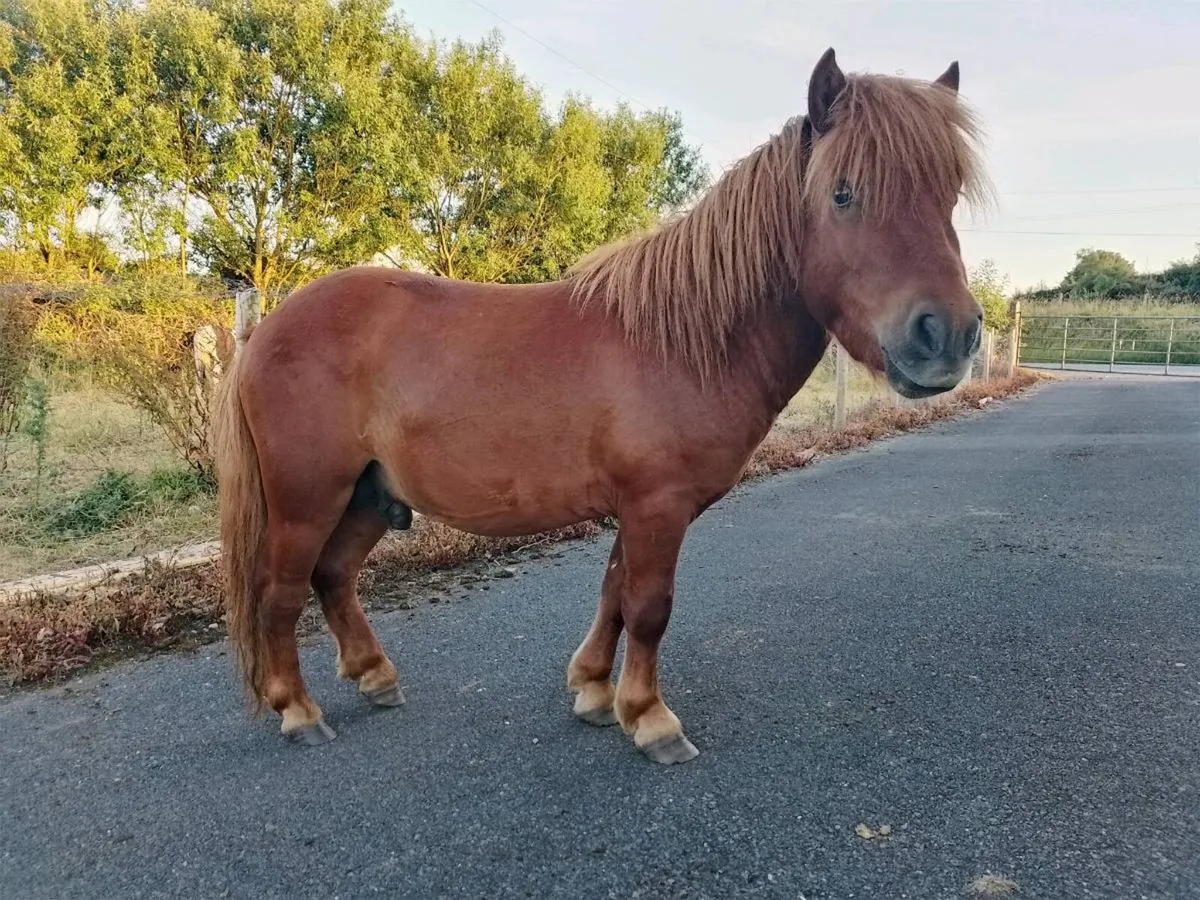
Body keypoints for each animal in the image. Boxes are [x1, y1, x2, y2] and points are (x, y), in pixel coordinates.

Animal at [212, 47, 991, 764]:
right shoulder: (656, 505)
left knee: (333, 576)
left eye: (949, 194)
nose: (947, 335)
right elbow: (647, 608)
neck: (684, 340)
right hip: (308, 498)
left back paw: (375, 677)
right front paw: (649, 718)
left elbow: (614, 594)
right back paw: (298, 710)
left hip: (370, 496)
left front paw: (592, 691)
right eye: (842, 194)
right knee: (281, 592)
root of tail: (265, 331)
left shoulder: (639, 508)